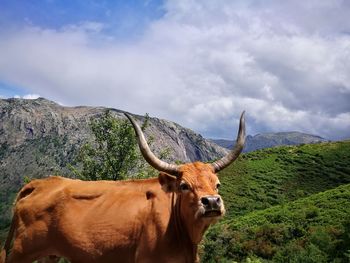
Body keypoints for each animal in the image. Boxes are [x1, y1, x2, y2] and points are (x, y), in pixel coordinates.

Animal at [0, 112, 246, 262]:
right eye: (184, 186)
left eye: (217, 184)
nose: (211, 201)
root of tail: (41, 183)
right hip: (21, 252)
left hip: (49, 255)